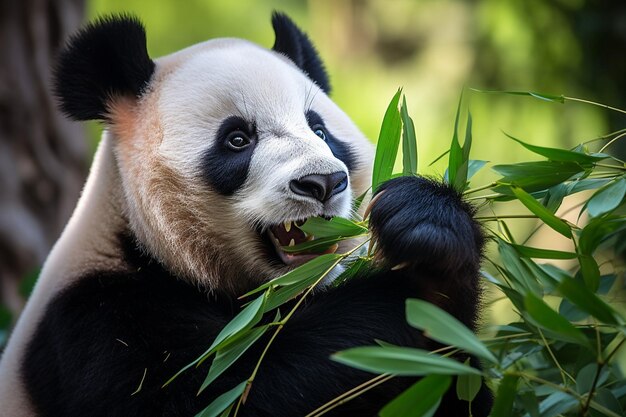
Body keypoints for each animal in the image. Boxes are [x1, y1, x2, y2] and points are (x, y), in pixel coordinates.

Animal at [0, 13, 490, 416]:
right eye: (237, 139)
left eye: (319, 130)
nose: (322, 183)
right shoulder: (97, 325)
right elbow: (233, 391)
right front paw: (412, 290)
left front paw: (427, 230)